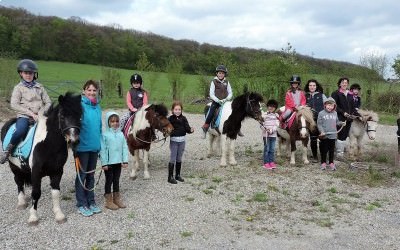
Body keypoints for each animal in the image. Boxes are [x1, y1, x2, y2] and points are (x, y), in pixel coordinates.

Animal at [0, 93, 82, 226]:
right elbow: (36, 193)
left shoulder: (57, 171)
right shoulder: (36, 172)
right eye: (62, 116)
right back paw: (22, 202)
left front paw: (59, 215)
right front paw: (33, 217)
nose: (74, 140)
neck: (49, 144)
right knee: (18, 181)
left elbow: (55, 192)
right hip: (14, 166)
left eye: (80, 115)